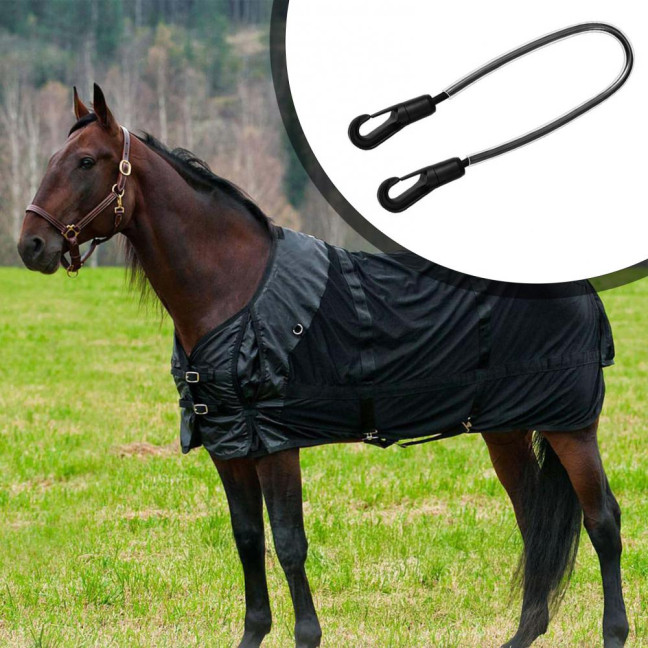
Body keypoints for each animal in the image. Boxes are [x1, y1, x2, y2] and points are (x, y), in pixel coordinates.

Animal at [17, 85, 629, 648]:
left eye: (86, 162)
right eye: (48, 158)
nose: (31, 246)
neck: (235, 290)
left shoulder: (275, 440)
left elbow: (289, 541)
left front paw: (307, 635)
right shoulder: (229, 445)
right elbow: (247, 539)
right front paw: (253, 634)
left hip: (572, 428)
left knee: (602, 520)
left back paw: (614, 632)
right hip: (506, 429)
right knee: (535, 521)